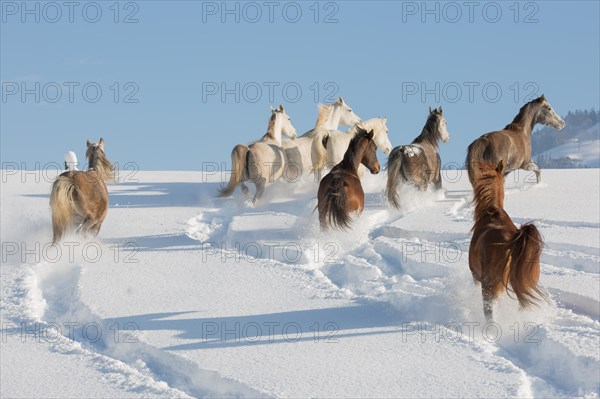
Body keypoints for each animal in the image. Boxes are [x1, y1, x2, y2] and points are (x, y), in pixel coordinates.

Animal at [468, 159, 548, 322]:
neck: (492, 211)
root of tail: (512, 242)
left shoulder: (476, 276)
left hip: (489, 287)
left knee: (490, 315)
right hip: (525, 284)